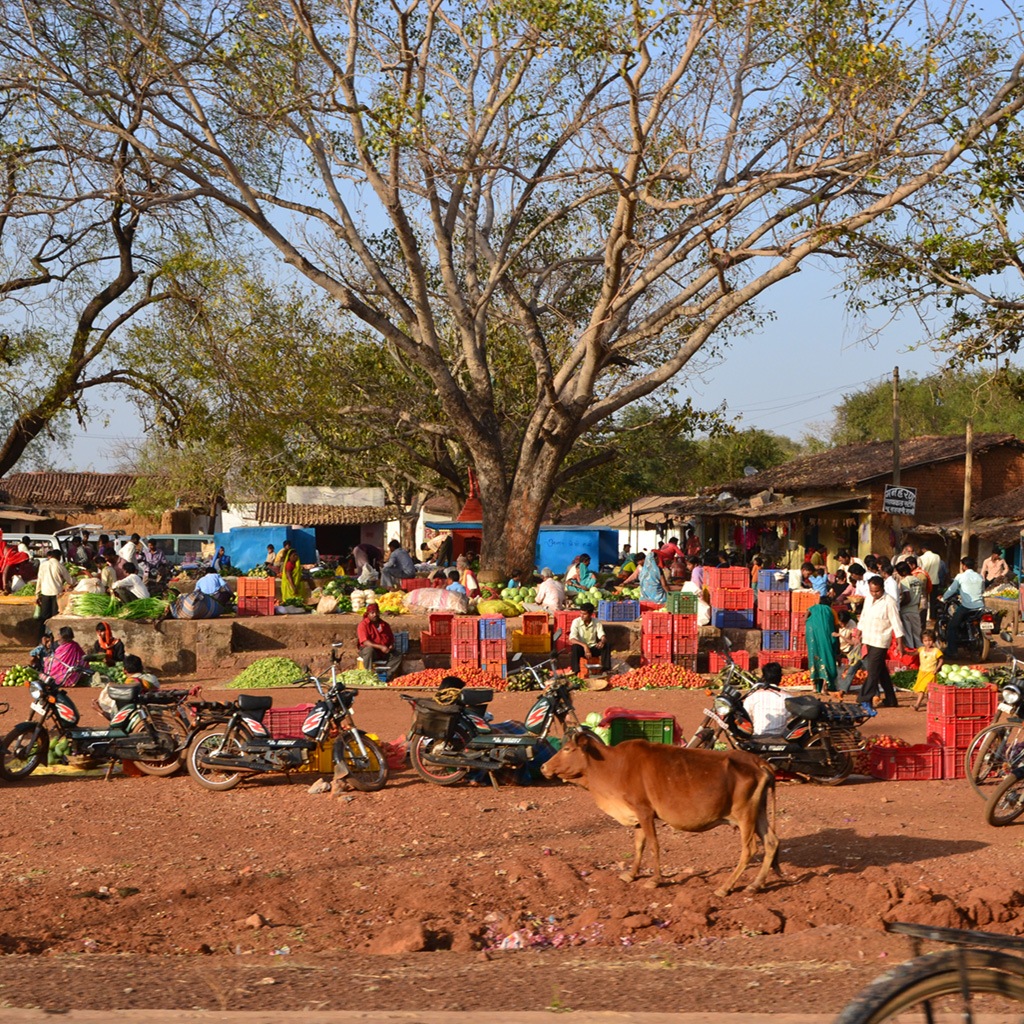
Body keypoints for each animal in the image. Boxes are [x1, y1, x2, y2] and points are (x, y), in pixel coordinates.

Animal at [540, 733, 778, 892]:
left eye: (567, 749)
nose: (543, 767)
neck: (612, 766)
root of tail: (758, 761)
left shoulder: (644, 811)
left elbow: (653, 845)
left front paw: (654, 880)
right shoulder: (637, 815)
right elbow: (638, 845)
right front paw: (630, 875)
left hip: (745, 815)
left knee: (749, 849)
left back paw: (726, 887)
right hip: (759, 812)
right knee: (771, 842)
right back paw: (755, 884)